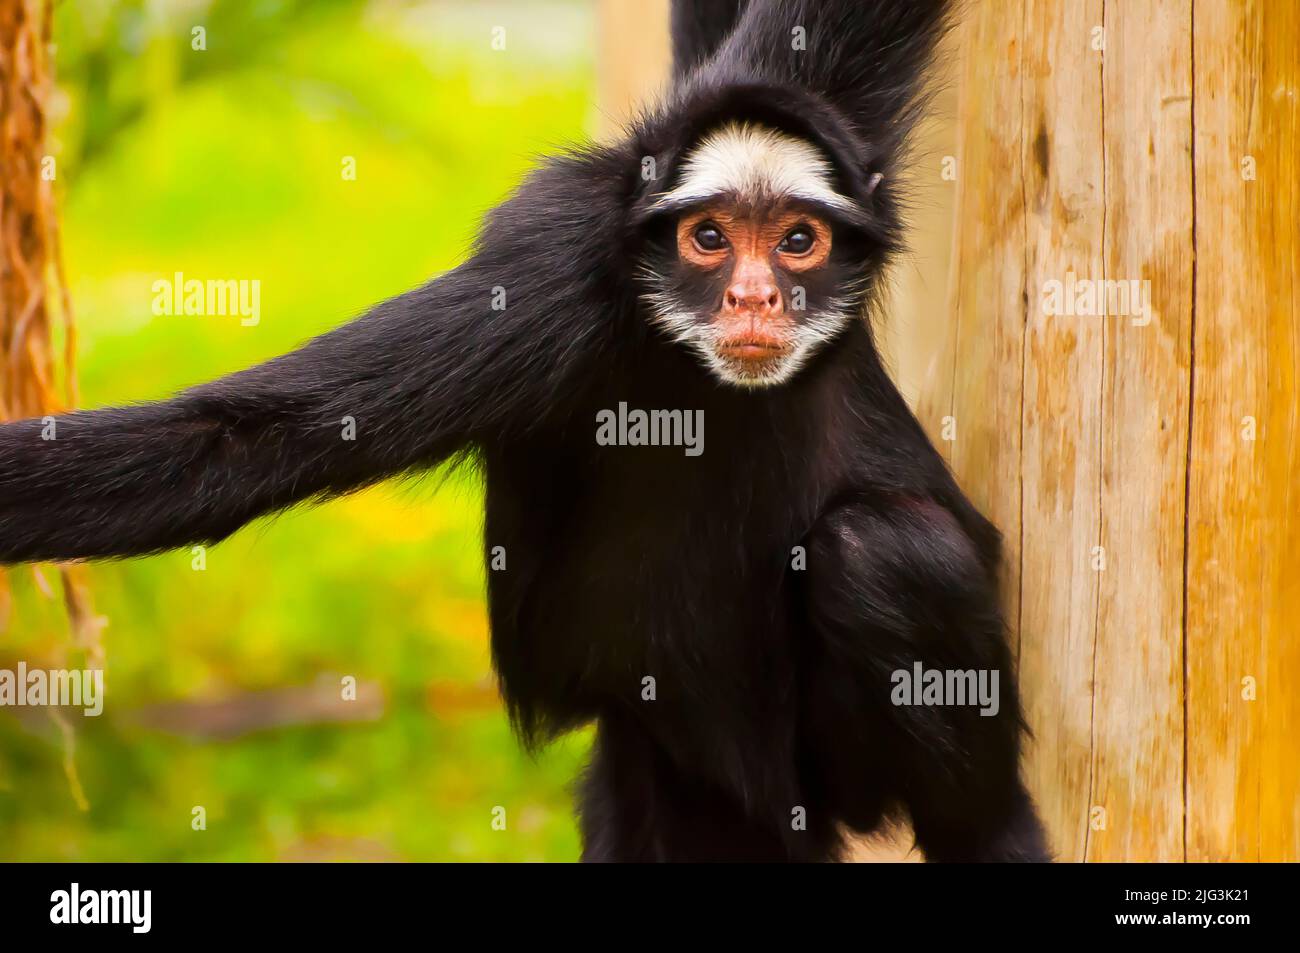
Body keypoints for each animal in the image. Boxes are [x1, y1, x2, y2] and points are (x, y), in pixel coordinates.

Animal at [0, 0, 1050, 861]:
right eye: (710, 238)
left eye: (798, 241)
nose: (754, 295)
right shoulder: (551, 269)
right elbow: (234, 439)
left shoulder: (825, 113)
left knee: (886, 546)